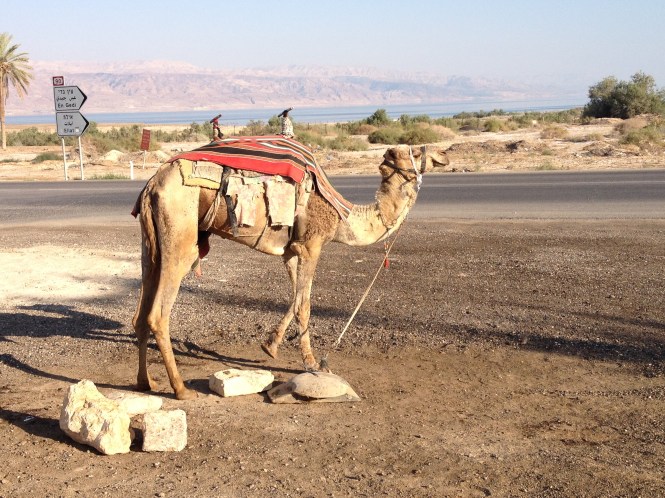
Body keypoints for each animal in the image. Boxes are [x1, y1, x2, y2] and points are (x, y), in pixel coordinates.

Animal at [132, 139, 449, 399]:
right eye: (415, 152)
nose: (445, 154)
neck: (342, 216)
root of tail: (152, 185)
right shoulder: (312, 245)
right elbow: (305, 304)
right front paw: (312, 363)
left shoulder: (291, 252)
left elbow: (296, 299)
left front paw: (270, 346)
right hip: (180, 234)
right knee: (158, 313)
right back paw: (181, 389)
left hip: (151, 243)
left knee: (140, 313)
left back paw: (147, 383)